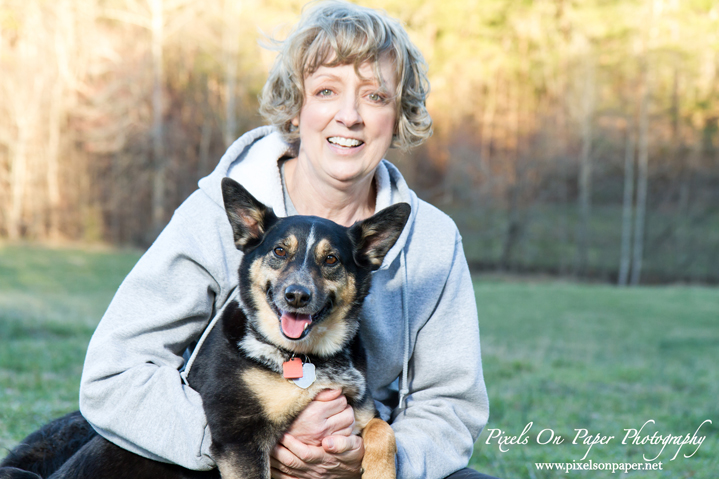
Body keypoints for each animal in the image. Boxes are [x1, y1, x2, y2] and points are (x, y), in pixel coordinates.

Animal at [0, 178, 410, 478]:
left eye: (331, 260)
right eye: (279, 251)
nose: (296, 295)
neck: (303, 358)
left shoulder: (360, 412)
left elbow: (385, 432)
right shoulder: (240, 438)